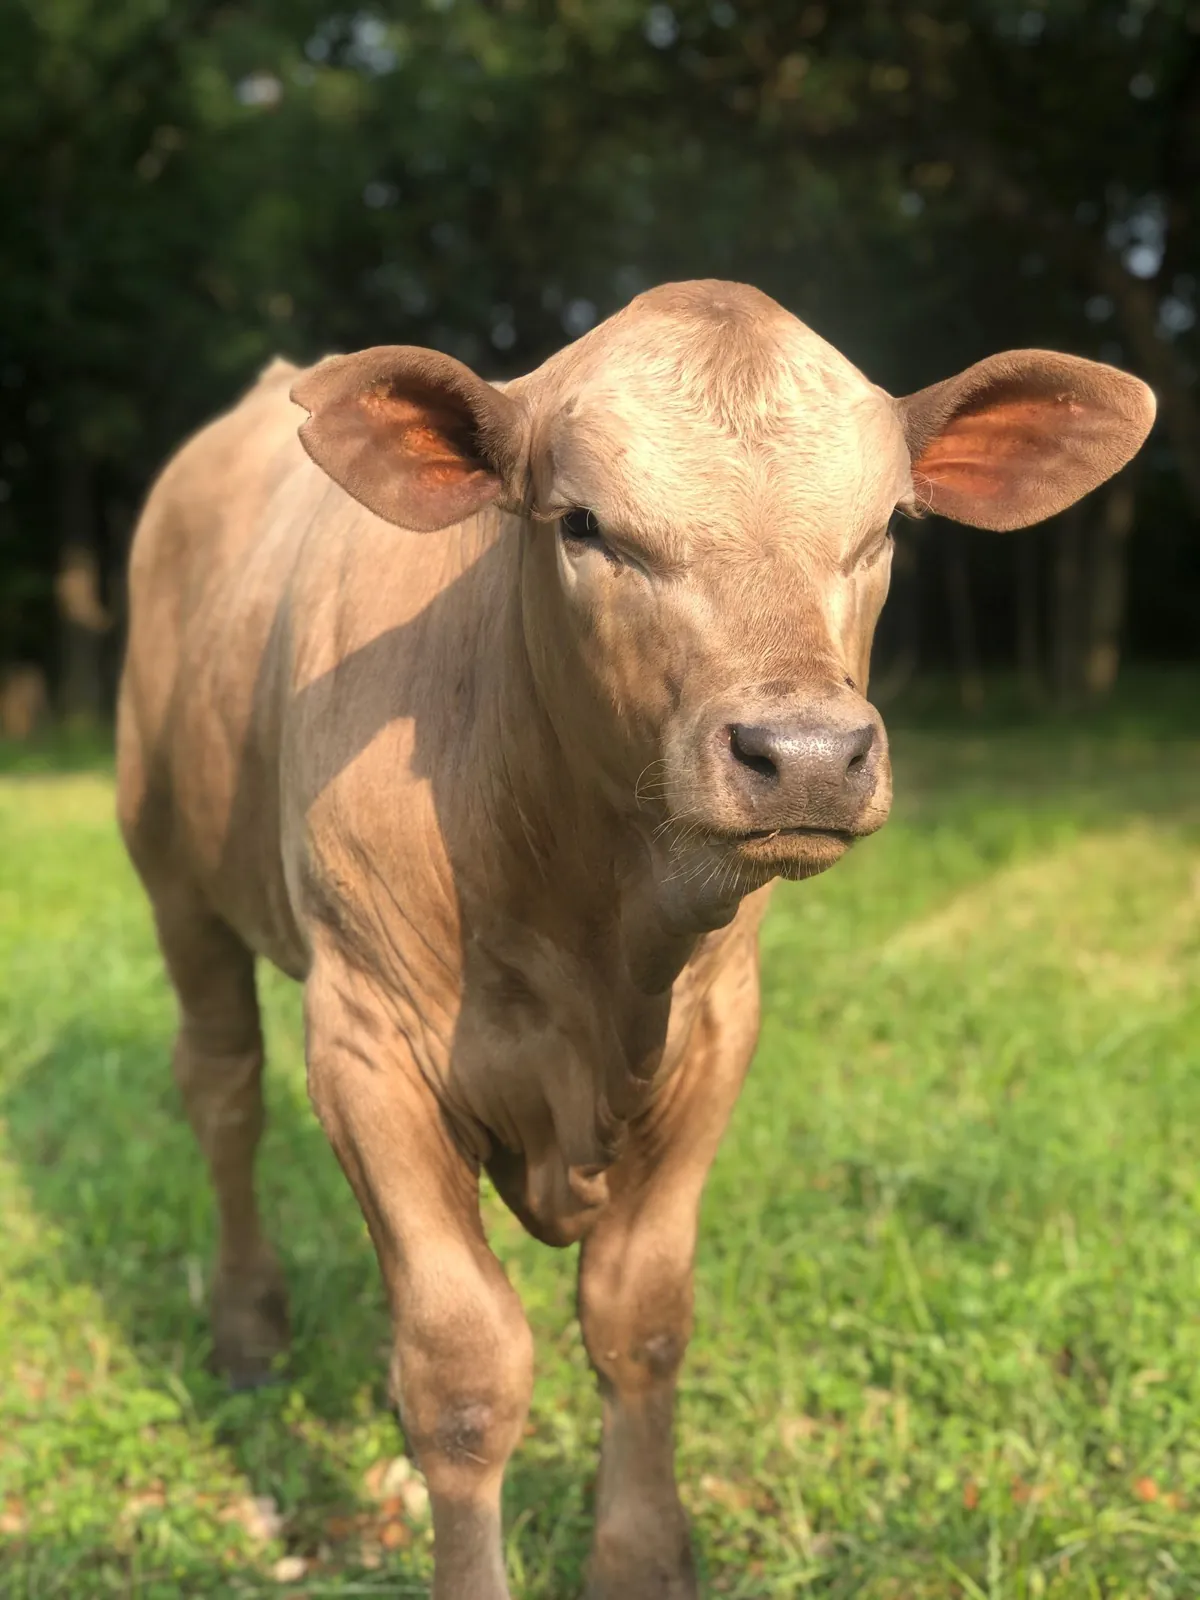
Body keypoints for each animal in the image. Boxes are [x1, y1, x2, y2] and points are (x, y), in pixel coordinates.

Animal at [116, 281, 1154, 1599]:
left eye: (883, 529)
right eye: (584, 524)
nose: (806, 753)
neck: (592, 918)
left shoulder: (715, 1032)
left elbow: (639, 1316)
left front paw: (645, 1555)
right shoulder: (365, 1039)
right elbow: (461, 1371)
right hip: (170, 870)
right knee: (223, 1091)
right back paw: (249, 1326)